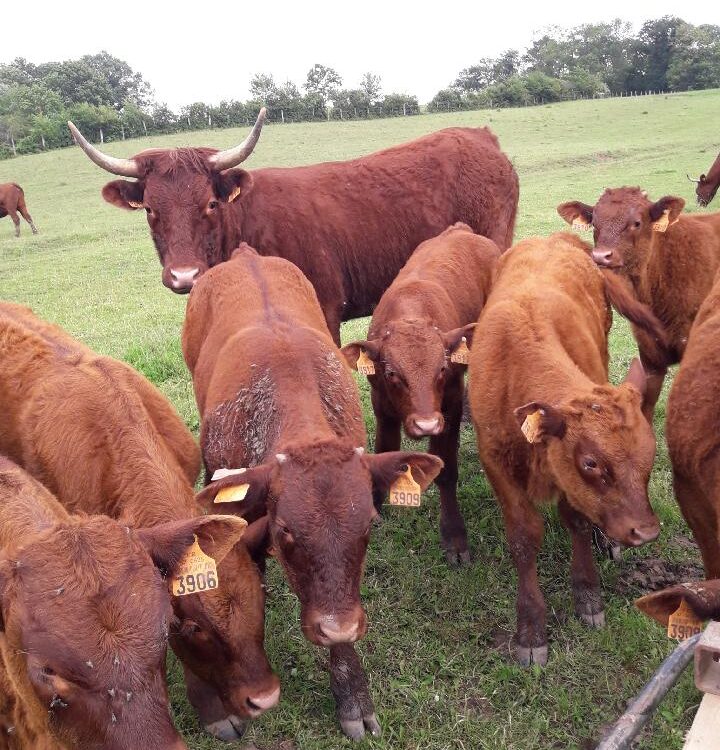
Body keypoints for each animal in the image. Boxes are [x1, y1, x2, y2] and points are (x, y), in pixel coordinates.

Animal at [342, 223, 500, 565]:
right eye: (391, 373)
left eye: (442, 368)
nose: (426, 424)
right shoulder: (382, 406)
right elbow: (385, 449)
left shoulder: (449, 406)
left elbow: (447, 471)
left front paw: (454, 536)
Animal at [468, 233, 663, 666]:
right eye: (591, 462)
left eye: (651, 455)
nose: (645, 532)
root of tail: (556, 237)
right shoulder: (496, 461)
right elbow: (524, 537)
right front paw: (530, 629)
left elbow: (577, 520)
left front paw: (588, 595)